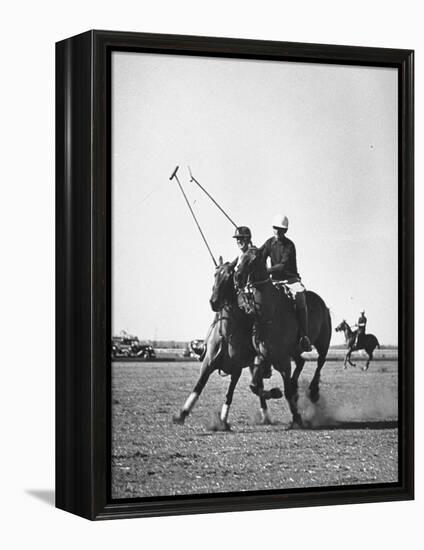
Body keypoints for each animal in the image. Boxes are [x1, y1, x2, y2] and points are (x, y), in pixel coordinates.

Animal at [172, 258, 282, 432]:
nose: (214, 302)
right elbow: (198, 386)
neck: (227, 334)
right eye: (215, 274)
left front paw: (223, 421)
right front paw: (181, 414)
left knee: (258, 386)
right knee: (257, 386)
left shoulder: (236, 369)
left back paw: (268, 410)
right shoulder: (207, 364)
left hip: (255, 362)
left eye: (230, 276)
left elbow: (229, 395)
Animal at [235, 248, 332, 430]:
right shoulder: (263, 355)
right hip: (295, 351)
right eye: (240, 257)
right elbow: (254, 386)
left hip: (323, 342)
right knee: (301, 362)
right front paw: (275, 392)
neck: (269, 314)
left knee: (320, 361)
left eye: (254, 259)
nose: (237, 277)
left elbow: (286, 391)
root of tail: (322, 303)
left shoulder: (283, 359)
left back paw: (313, 391)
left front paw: (297, 418)